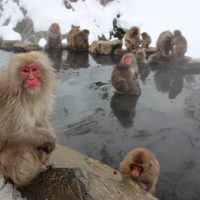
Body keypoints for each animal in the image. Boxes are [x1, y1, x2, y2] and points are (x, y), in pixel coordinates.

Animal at [0, 50, 57, 187]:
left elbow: (41, 119)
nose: (31, 78)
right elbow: (14, 132)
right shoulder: (13, 103)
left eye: (34, 69)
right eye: (25, 70)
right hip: (5, 164)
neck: (27, 96)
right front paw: (50, 139)